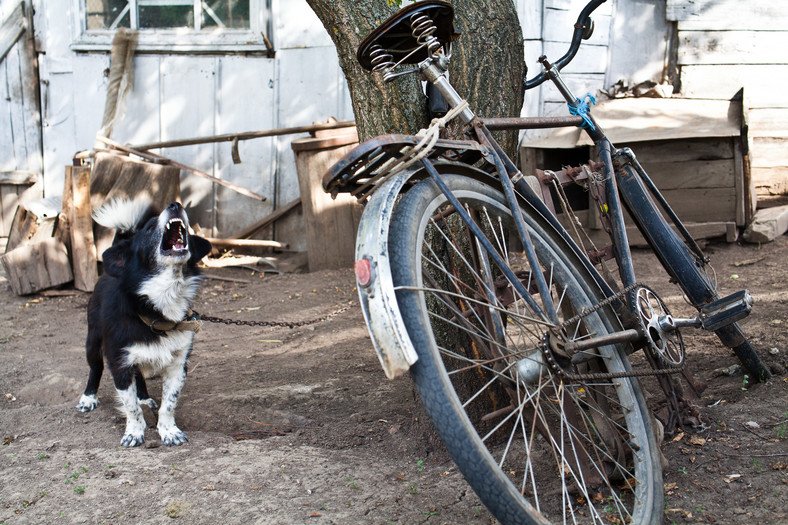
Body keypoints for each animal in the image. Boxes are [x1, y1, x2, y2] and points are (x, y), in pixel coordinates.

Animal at [76, 198, 212, 446]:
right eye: (149, 228)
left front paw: (169, 431)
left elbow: (169, 403)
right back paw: (88, 398)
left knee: (139, 374)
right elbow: (130, 406)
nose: (175, 204)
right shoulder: (119, 363)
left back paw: (144, 397)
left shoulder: (178, 365)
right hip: (93, 341)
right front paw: (134, 432)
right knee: (96, 368)